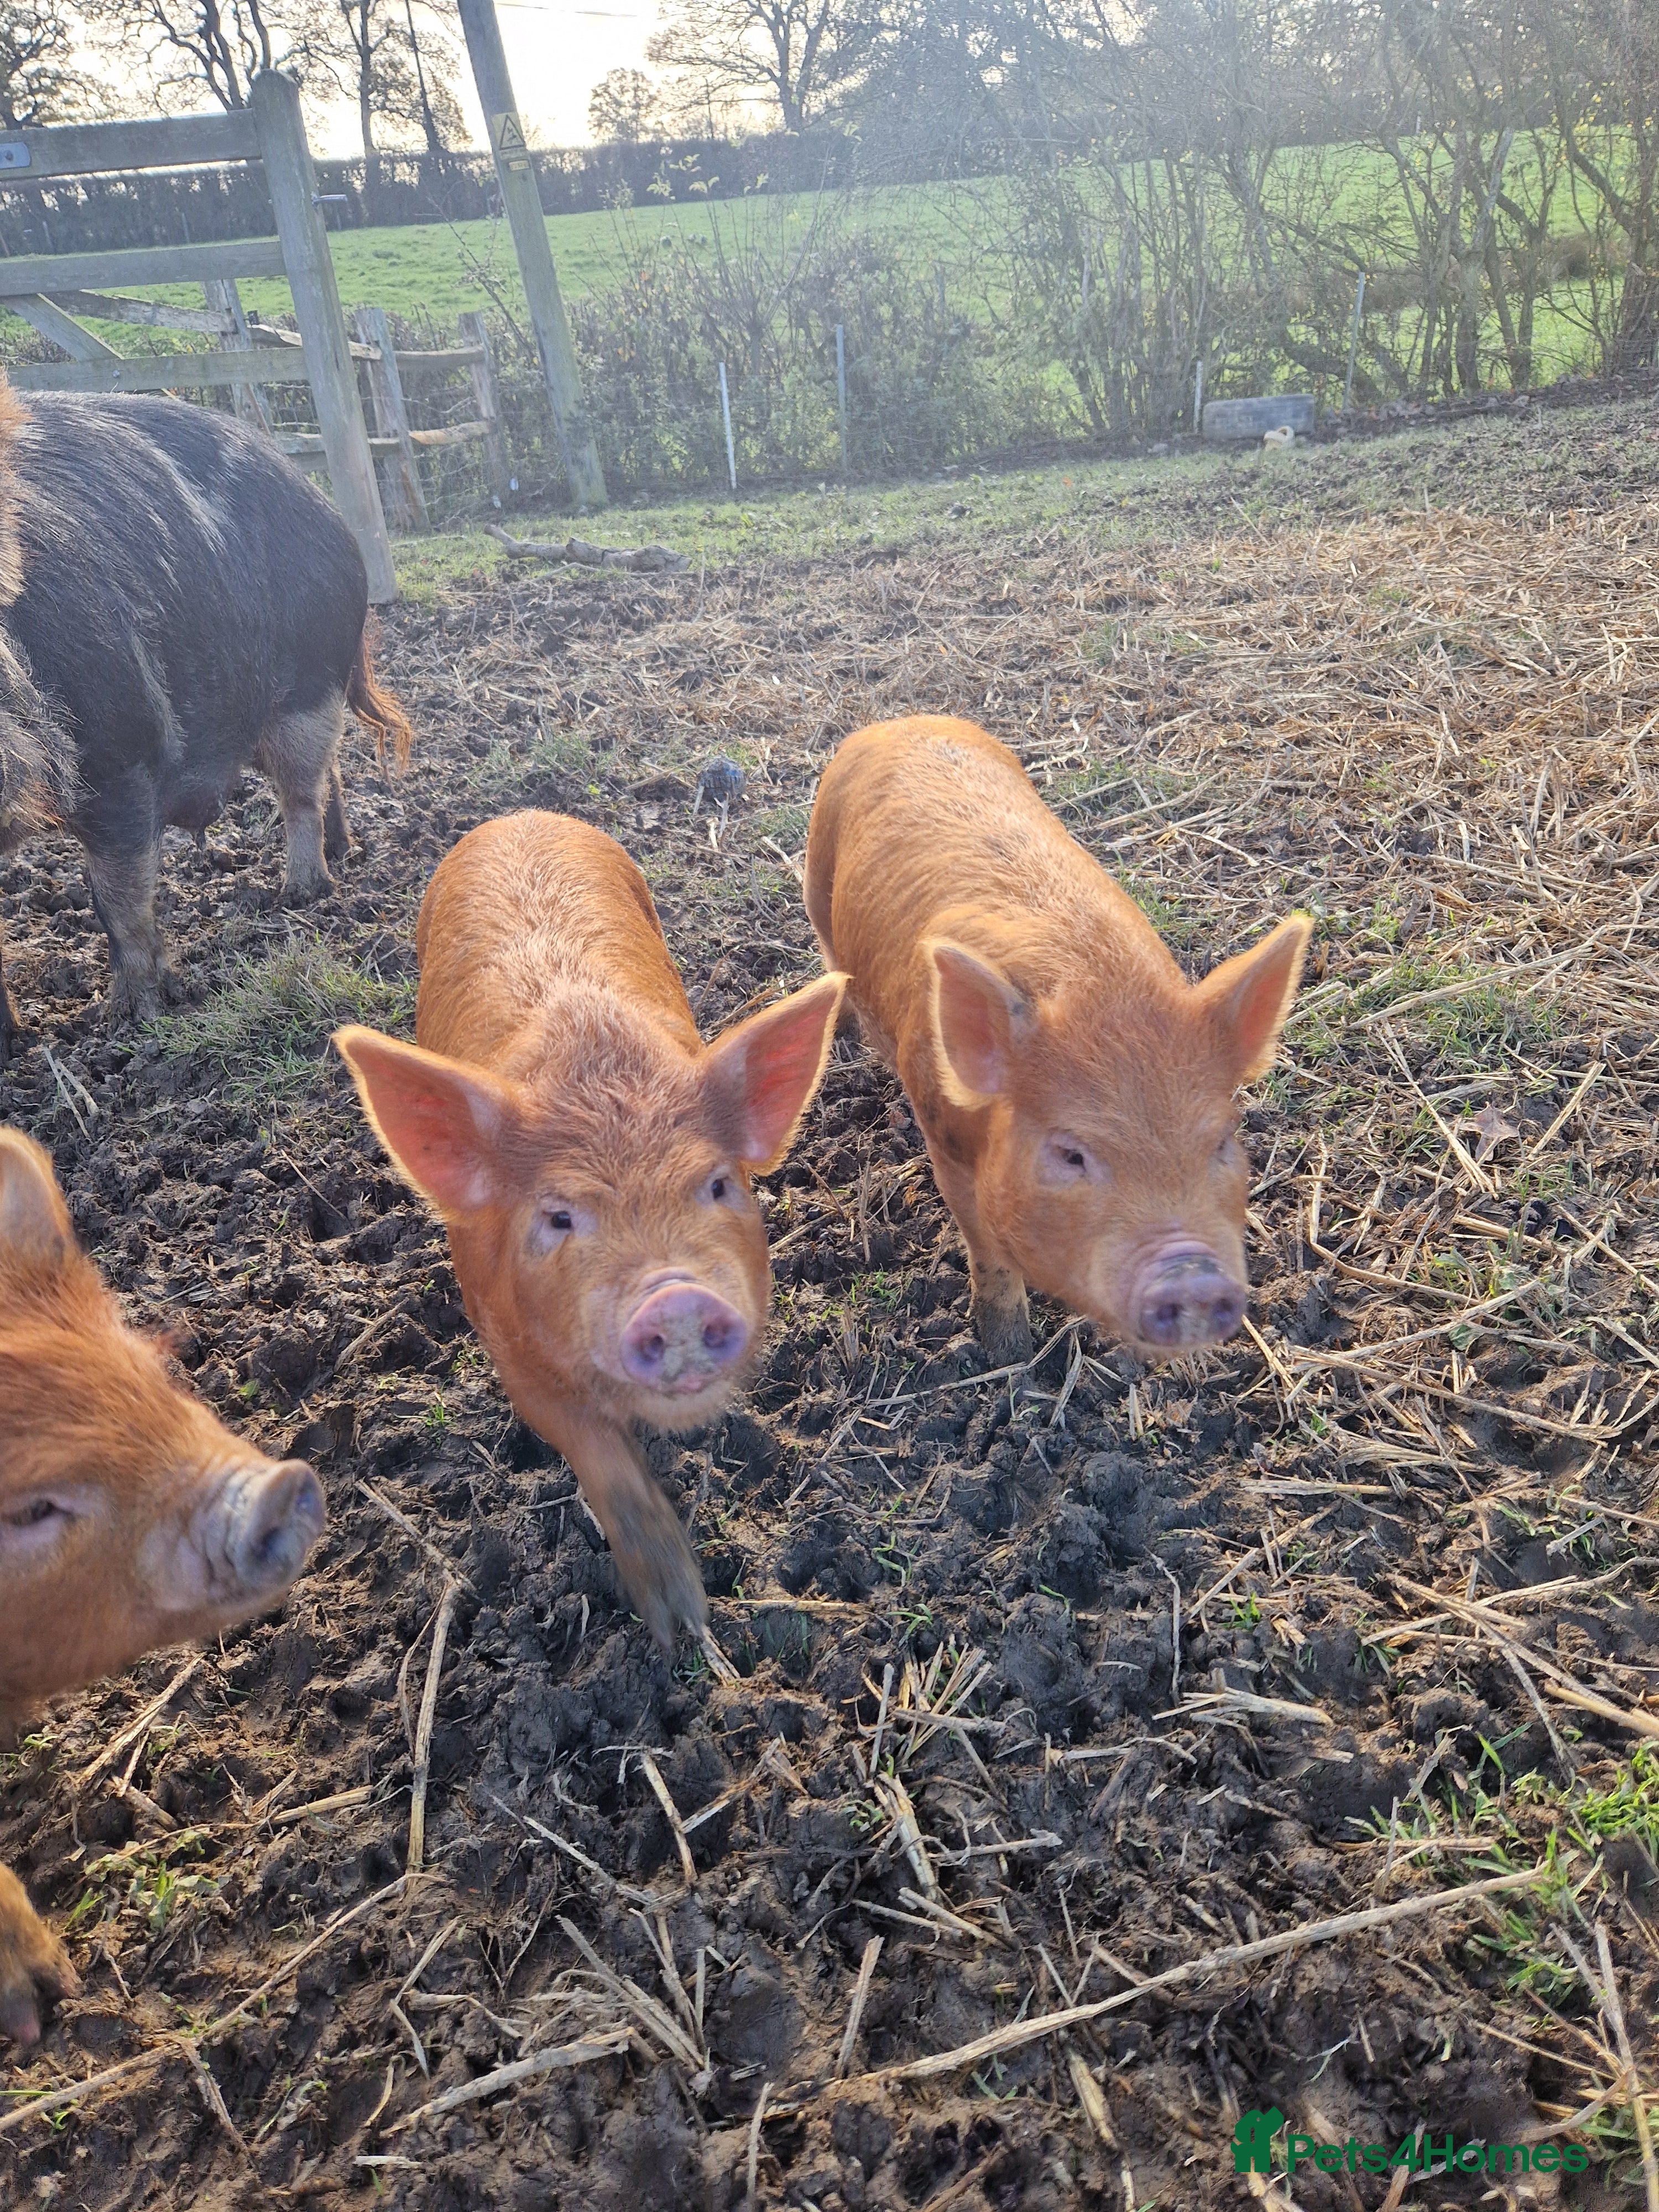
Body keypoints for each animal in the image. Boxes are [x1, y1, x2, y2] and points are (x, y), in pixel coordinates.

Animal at [0, 382, 412, 1061]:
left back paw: (302, 892)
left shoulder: (123, 759)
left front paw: (135, 1018)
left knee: (302, 790)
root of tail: (324, 507)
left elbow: (119, 899)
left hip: (309, 685)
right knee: (329, 777)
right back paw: (339, 854)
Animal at [334, 811, 846, 1647]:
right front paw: (678, 1619)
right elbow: (598, 1456)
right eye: (559, 1216)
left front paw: (691, 1623)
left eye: (718, 1184)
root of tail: (520, 817)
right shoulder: (508, 1348)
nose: (674, 1297)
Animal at [803, 716, 1310, 1364]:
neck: (1103, 992)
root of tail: (902, 721)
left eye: (1222, 1141)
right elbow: (988, 1251)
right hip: (817, 878)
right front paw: (1008, 1352)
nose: (1193, 1279)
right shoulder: (944, 1139)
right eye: (1071, 1154)